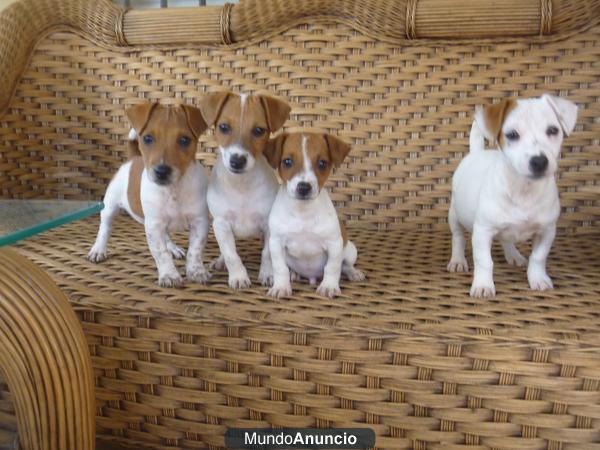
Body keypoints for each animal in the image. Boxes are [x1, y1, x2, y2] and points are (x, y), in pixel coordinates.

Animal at [88, 101, 211, 288]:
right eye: (147, 138)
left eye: (184, 140)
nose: (162, 171)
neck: (173, 190)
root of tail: (133, 158)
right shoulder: (154, 225)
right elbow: (161, 253)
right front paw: (169, 275)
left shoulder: (199, 222)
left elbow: (195, 251)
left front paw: (196, 271)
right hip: (110, 207)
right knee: (105, 228)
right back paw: (98, 249)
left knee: (167, 235)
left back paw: (173, 248)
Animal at [198, 90, 292, 288]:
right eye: (224, 127)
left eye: (258, 131)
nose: (237, 160)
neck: (241, 185)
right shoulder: (221, 224)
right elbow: (231, 255)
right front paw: (239, 277)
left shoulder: (268, 226)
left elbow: (267, 253)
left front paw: (268, 274)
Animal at [264, 131, 366, 298]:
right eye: (287, 161)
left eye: (322, 163)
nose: (304, 187)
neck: (303, 213)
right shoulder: (276, 243)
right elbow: (280, 268)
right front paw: (281, 287)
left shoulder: (334, 244)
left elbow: (332, 267)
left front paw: (329, 286)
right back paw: (294, 274)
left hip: (350, 250)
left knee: (345, 265)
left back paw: (353, 273)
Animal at [448, 94, 580, 298]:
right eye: (512, 135)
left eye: (553, 130)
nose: (539, 161)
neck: (523, 189)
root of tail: (477, 153)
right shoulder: (483, 231)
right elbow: (484, 261)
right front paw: (483, 285)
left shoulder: (547, 231)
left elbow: (538, 257)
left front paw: (538, 279)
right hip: (454, 215)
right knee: (458, 238)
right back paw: (457, 260)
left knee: (506, 239)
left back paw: (514, 255)